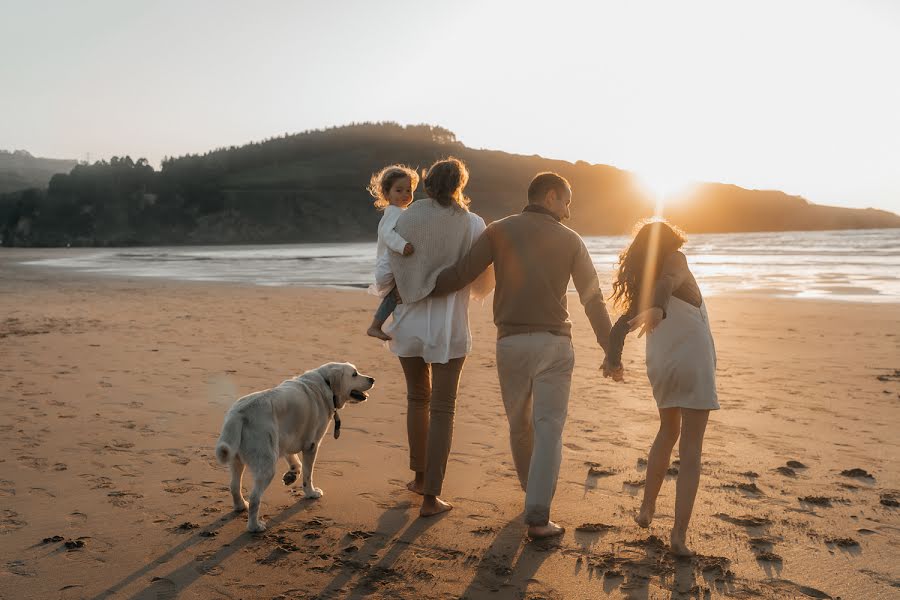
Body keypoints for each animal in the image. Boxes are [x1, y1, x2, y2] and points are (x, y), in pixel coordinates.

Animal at [214, 360, 372, 528]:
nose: (372, 379)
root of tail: (238, 414)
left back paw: (240, 506)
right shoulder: (311, 445)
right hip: (266, 465)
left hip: (236, 458)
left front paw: (292, 475)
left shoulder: (287, 437)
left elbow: (295, 460)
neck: (326, 383)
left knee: (234, 486)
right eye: (354, 374)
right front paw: (311, 493)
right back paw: (255, 527)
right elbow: (308, 474)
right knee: (255, 497)